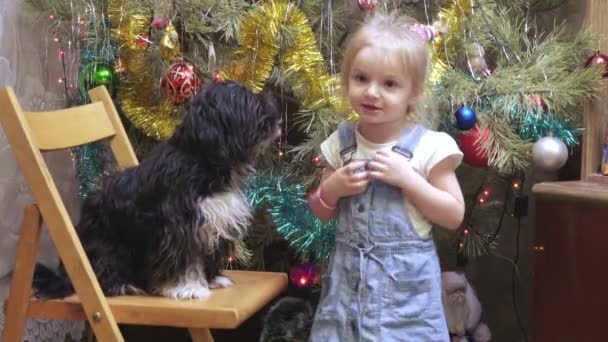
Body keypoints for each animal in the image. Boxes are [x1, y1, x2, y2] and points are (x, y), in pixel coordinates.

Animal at [36, 80, 284, 300]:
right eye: (249, 102)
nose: (278, 119)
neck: (201, 161)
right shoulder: (179, 227)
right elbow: (184, 260)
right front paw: (188, 288)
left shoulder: (217, 219)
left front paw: (212, 279)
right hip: (106, 246)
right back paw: (123, 285)